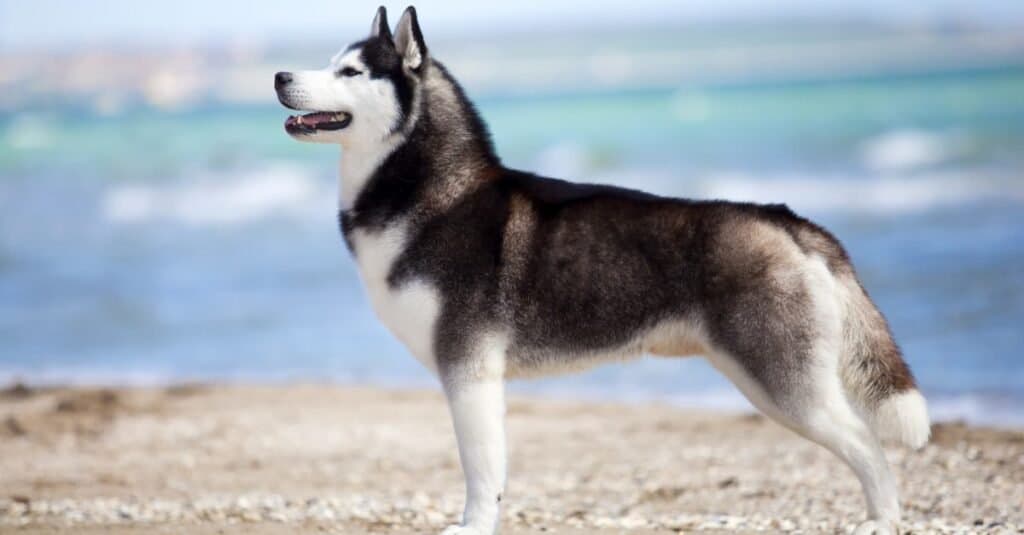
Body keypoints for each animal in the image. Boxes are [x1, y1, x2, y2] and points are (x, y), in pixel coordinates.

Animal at [276, 6, 933, 528]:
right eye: (328, 62)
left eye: (350, 72)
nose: (280, 76)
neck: (432, 192)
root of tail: (787, 219)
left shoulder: (468, 370)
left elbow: (481, 468)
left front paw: (473, 525)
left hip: (785, 385)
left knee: (868, 445)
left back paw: (882, 519)